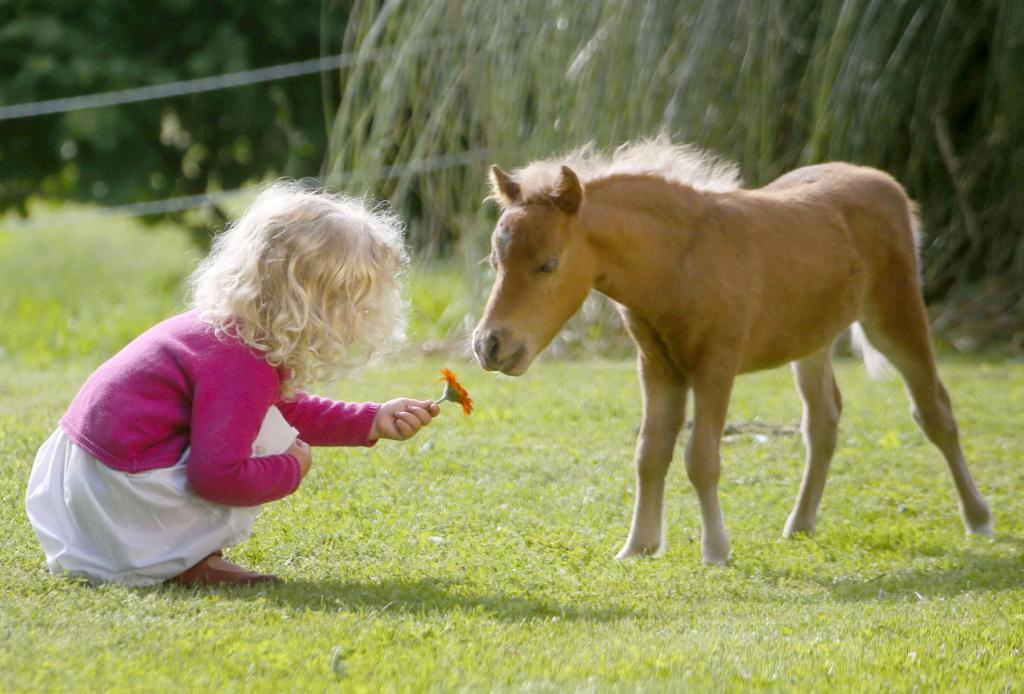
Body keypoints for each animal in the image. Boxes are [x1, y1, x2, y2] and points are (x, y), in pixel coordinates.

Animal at [475, 137, 995, 565]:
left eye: (548, 265)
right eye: (495, 261)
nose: (489, 344)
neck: (679, 261)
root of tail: (887, 184)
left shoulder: (715, 366)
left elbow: (700, 457)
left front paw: (716, 551)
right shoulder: (658, 368)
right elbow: (649, 453)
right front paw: (638, 546)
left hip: (895, 317)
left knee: (935, 411)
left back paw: (979, 518)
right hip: (813, 341)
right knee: (823, 421)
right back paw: (800, 524)